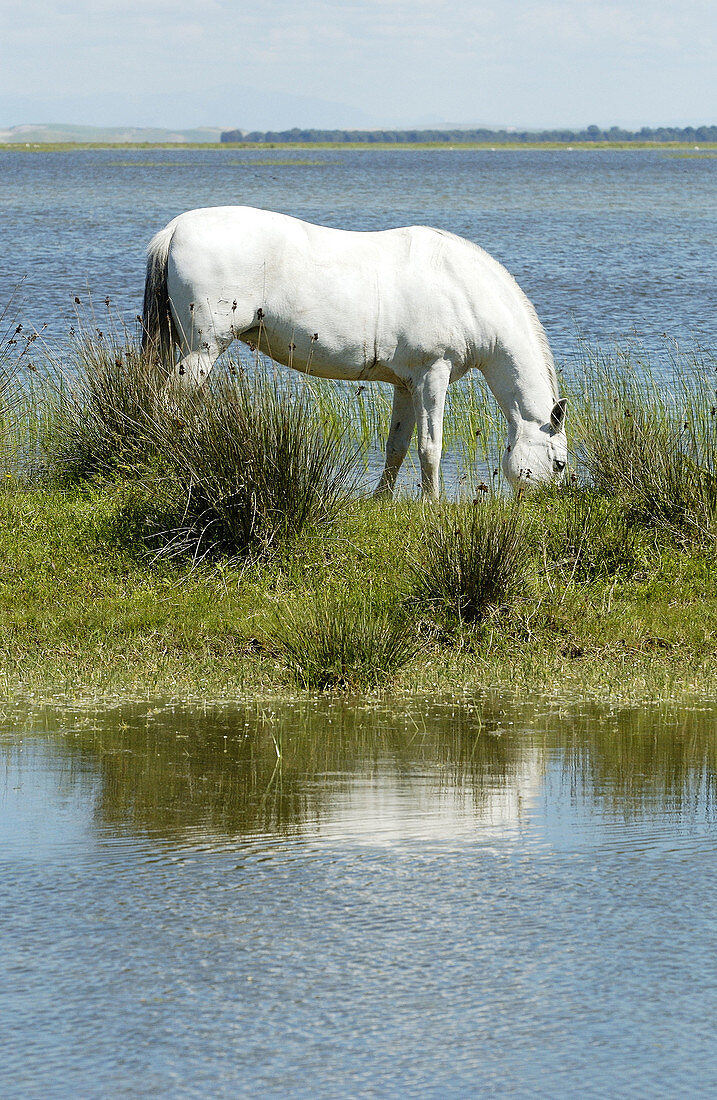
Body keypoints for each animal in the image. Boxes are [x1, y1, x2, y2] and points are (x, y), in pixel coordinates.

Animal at [141, 206, 567, 499]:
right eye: (559, 463)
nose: (554, 504)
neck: (462, 287)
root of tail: (175, 228)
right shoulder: (434, 374)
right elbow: (430, 447)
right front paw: (433, 505)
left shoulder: (407, 385)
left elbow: (397, 446)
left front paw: (382, 500)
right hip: (203, 350)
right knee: (169, 405)